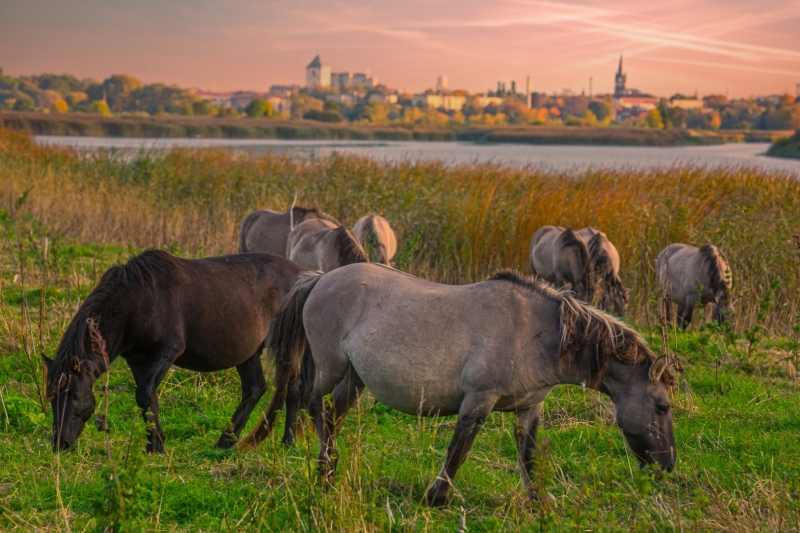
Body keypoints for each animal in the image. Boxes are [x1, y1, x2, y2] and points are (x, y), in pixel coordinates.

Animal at [43, 251, 304, 450]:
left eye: (74, 395)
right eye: (51, 397)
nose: (60, 444)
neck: (134, 303)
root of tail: (303, 277)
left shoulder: (167, 351)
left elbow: (145, 393)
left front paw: (157, 444)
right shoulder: (137, 359)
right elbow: (148, 399)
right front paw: (154, 444)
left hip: (287, 346)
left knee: (292, 389)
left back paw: (288, 441)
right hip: (248, 352)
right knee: (255, 388)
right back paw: (226, 441)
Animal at [242, 264, 676, 504]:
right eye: (663, 407)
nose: (667, 466)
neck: (539, 332)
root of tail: (320, 279)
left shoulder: (527, 409)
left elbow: (529, 457)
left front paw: (539, 501)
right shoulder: (478, 401)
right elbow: (458, 450)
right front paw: (437, 497)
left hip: (354, 378)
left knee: (332, 413)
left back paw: (328, 469)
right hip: (330, 365)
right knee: (313, 405)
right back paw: (327, 470)